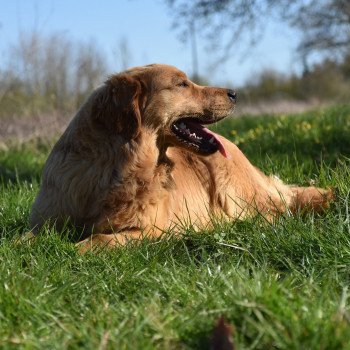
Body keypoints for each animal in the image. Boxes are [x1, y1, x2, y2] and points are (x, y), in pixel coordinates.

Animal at [29, 65, 334, 252]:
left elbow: (100, 240)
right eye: (182, 84)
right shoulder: (45, 220)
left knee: (275, 213)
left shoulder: (149, 230)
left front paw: (72, 249)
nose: (235, 93)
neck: (112, 170)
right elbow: (27, 237)